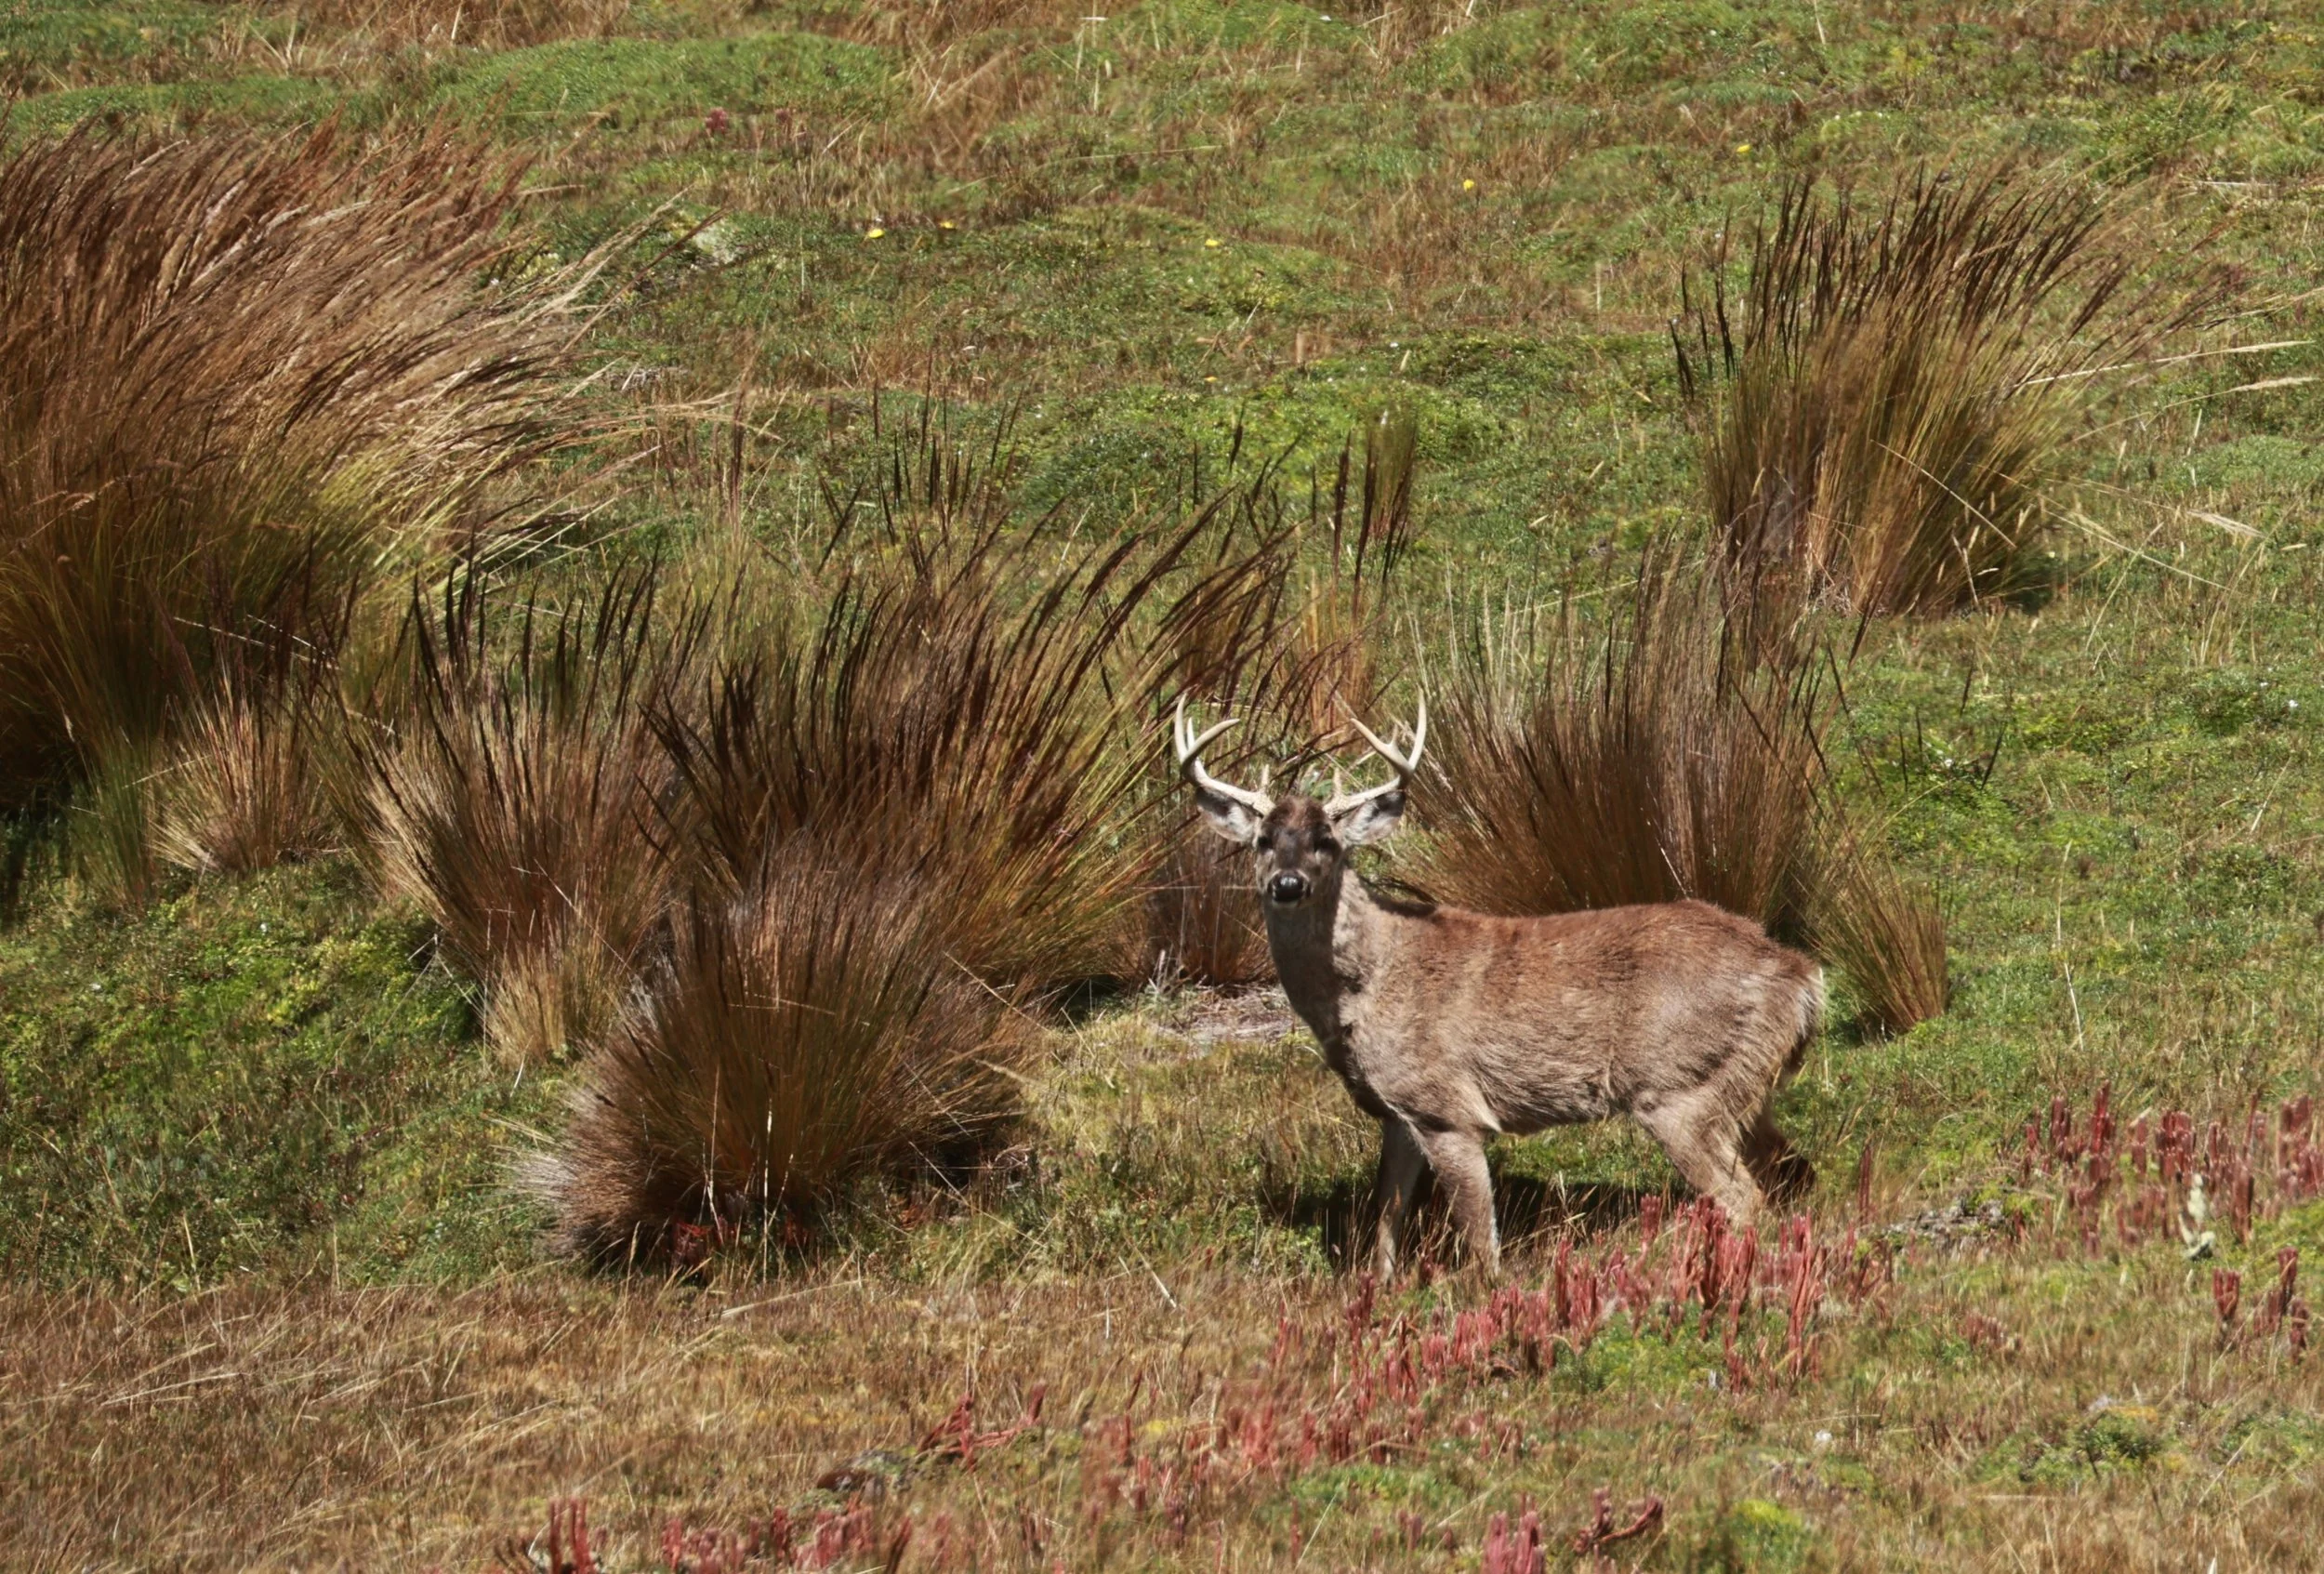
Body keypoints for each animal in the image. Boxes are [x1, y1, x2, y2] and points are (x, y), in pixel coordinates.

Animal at [1174, 697, 1824, 1278]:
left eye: (1326, 842)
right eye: (1263, 840)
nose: (1286, 884)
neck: (1368, 985)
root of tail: (1799, 977)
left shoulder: (1448, 1108)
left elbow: (1479, 1235)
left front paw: (1480, 1299)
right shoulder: (1398, 1111)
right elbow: (1386, 1214)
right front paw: (1378, 1290)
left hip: (1680, 1086)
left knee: (1748, 1202)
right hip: (1741, 1088)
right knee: (1796, 1175)